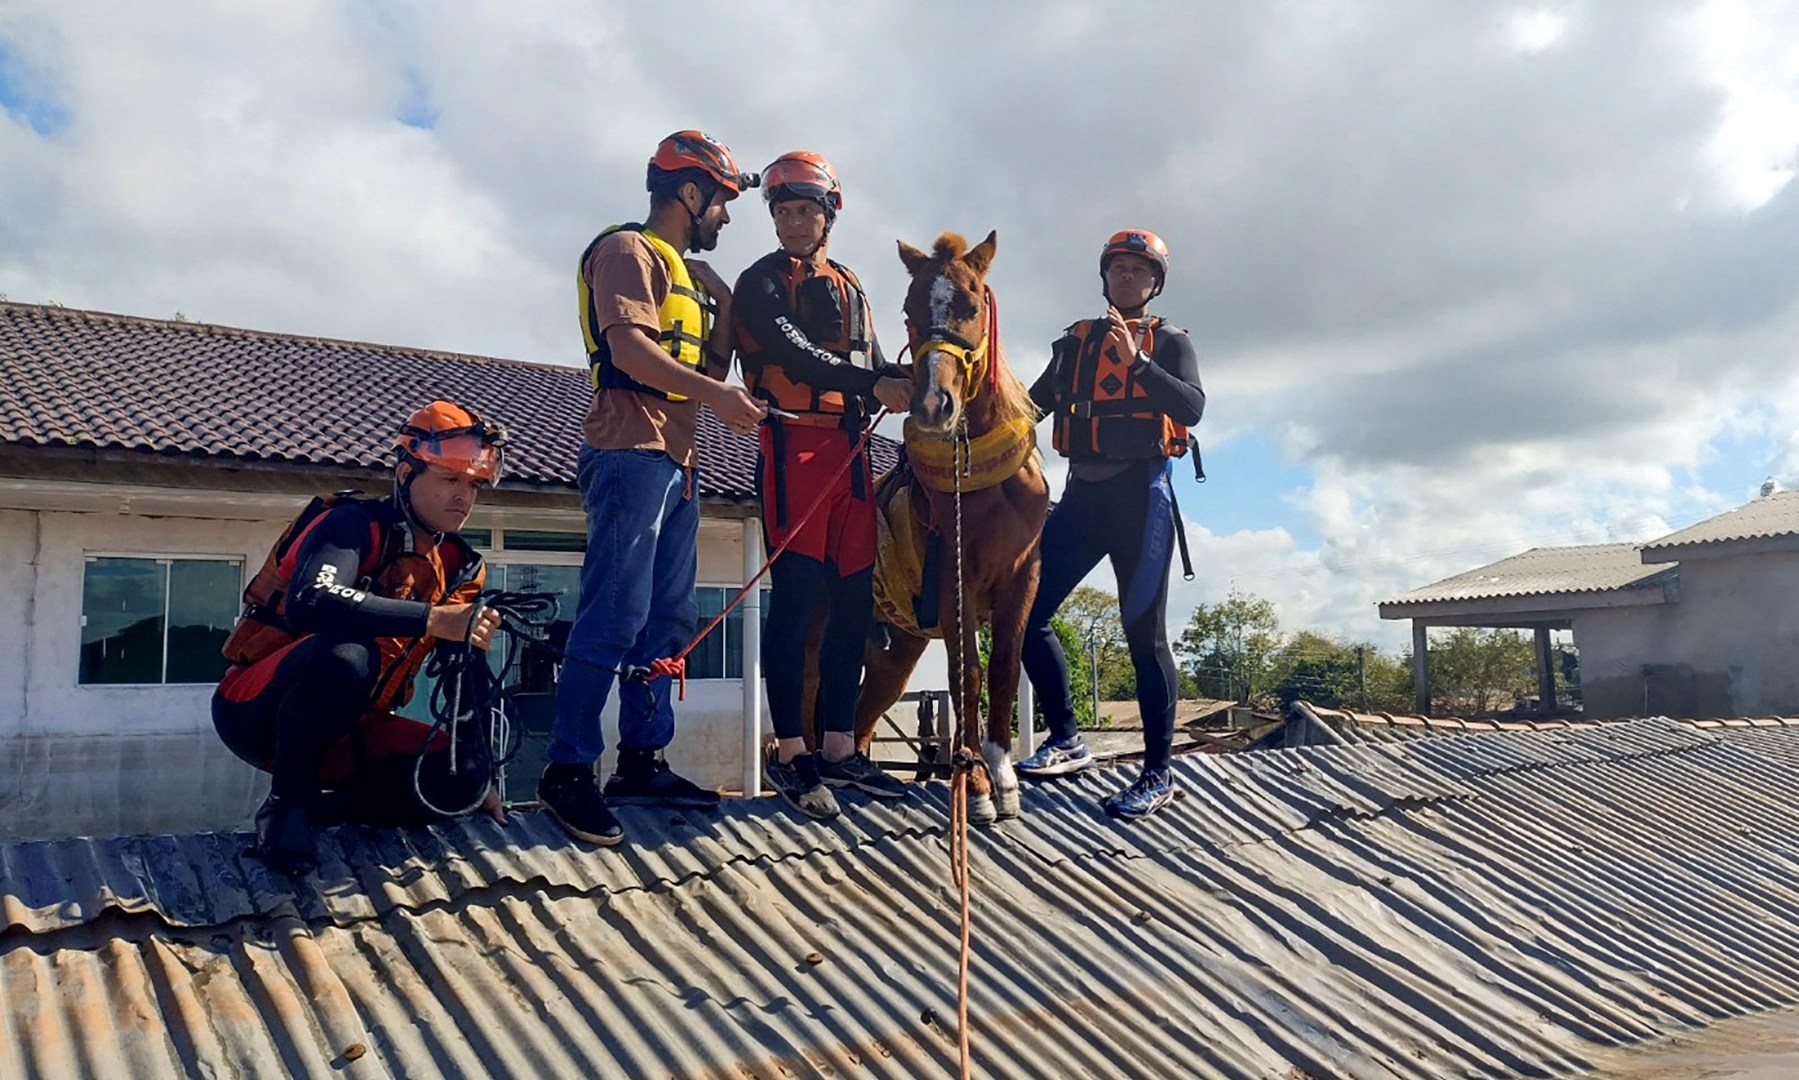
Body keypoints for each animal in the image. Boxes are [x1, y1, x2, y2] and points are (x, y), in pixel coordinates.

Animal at [845, 227, 1050, 817]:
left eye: (971, 305)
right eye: (909, 310)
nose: (934, 405)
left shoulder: (1023, 575)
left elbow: (1003, 668)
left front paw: (1003, 774)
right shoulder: (956, 579)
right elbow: (968, 677)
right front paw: (976, 783)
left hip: (895, 649)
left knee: (864, 712)